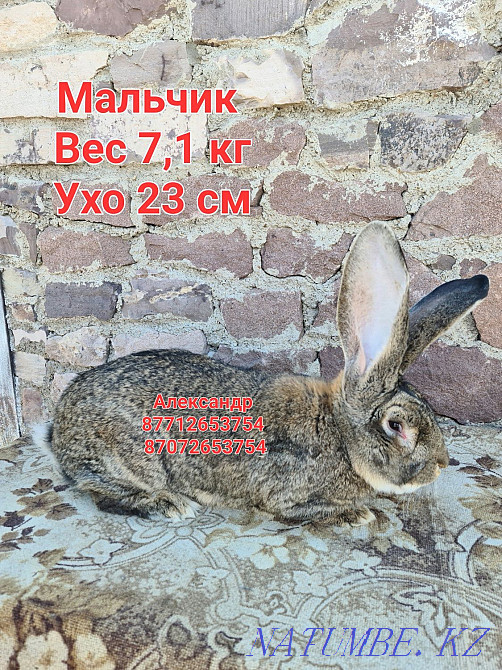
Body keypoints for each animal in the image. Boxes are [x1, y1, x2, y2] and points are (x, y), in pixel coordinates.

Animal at [40, 222, 489, 526]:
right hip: (127, 459)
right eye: (397, 426)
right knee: (95, 488)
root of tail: (59, 425)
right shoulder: (285, 495)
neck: (338, 434)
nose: (441, 464)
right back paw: (167, 503)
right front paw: (355, 515)